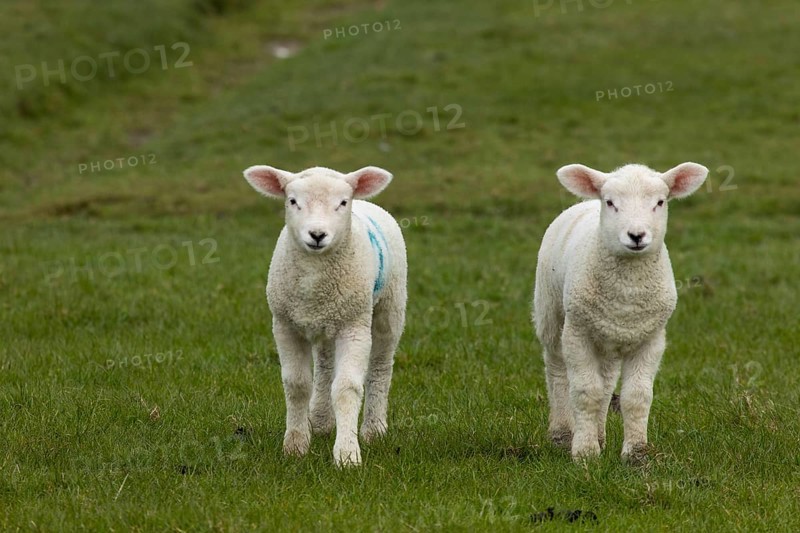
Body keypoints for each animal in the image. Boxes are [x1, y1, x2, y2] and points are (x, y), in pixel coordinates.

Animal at [243, 164, 407, 467]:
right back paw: (320, 420)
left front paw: (347, 454)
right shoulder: (284, 326)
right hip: (326, 322)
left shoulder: (354, 326)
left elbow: (346, 388)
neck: (315, 274)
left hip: (389, 307)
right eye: (292, 201)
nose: (317, 234)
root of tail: (366, 202)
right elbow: (296, 385)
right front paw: (295, 446)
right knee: (324, 366)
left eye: (342, 203)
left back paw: (373, 429)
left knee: (381, 366)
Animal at [532, 162, 708, 462]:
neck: (627, 295)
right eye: (611, 202)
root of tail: (584, 203)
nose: (636, 236)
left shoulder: (651, 339)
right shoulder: (578, 334)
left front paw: (636, 453)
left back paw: (599, 435)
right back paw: (562, 433)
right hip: (552, 313)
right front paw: (585, 452)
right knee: (556, 371)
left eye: (660, 202)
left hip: (608, 338)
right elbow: (585, 392)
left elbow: (636, 397)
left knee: (605, 384)